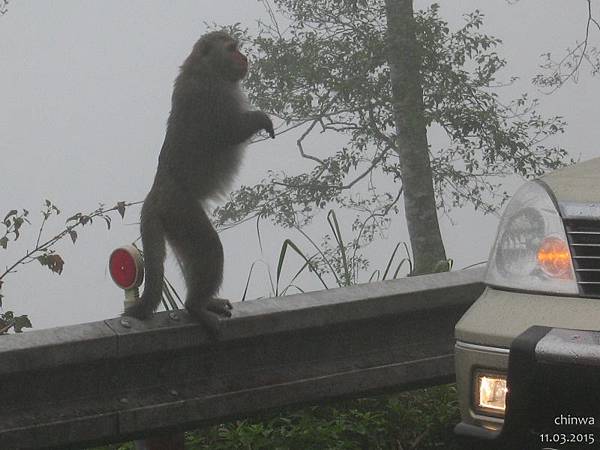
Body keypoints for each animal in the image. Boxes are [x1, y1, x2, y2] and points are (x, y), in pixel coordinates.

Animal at [126, 29, 276, 328]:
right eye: (231, 49)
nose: (244, 57)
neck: (205, 68)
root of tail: (154, 196)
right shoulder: (209, 94)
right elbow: (227, 132)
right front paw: (261, 119)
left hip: (175, 222)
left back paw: (203, 302)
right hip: (181, 211)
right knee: (209, 248)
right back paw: (195, 306)